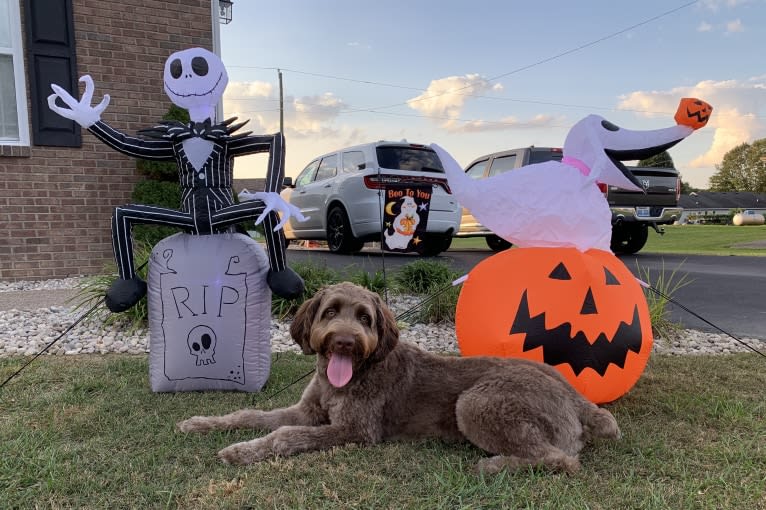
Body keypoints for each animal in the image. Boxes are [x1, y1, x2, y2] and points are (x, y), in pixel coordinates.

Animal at [177, 280, 620, 472]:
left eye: (365, 318)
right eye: (330, 312)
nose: (345, 342)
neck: (347, 378)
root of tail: (576, 398)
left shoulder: (356, 431)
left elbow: (285, 435)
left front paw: (241, 452)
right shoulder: (308, 412)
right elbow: (251, 415)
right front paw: (201, 423)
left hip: (478, 402)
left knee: (563, 460)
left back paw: (494, 465)